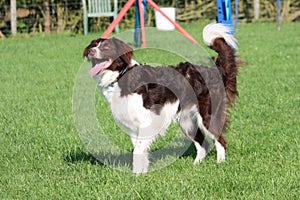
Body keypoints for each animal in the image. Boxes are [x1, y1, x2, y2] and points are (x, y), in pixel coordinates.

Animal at [83, 23, 238, 173]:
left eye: (106, 47)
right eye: (93, 46)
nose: (91, 51)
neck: (121, 76)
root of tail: (212, 70)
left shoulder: (146, 122)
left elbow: (137, 150)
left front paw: (136, 175)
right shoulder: (133, 127)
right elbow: (139, 150)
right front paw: (142, 172)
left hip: (207, 115)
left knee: (220, 140)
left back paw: (220, 163)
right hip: (186, 121)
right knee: (203, 144)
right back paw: (196, 166)